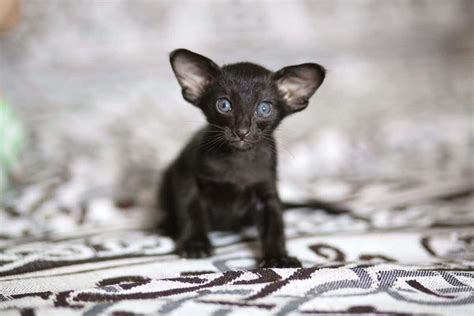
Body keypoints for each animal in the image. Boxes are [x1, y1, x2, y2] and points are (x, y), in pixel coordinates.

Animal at [159, 48, 326, 266]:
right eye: (224, 105)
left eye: (264, 108)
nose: (242, 131)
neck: (237, 161)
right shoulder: (186, 177)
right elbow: (191, 211)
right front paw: (196, 244)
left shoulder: (267, 192)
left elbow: (275, 225)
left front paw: (278, 257)